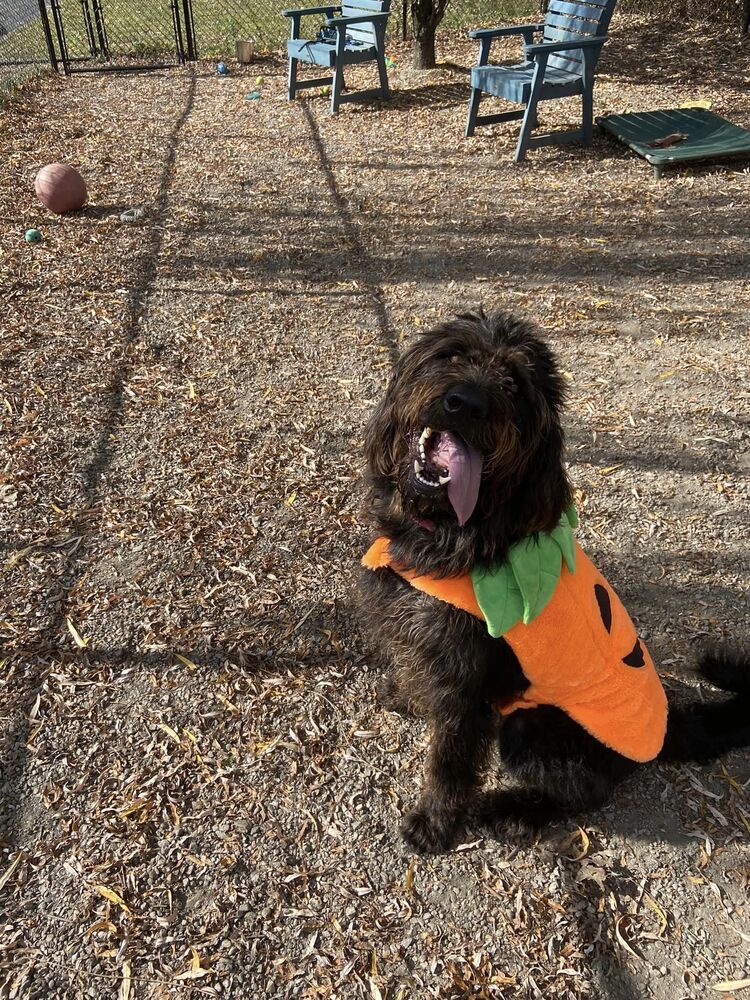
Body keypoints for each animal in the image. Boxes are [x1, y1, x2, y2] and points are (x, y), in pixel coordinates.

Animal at [362, 308, 748, 856]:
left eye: (515, 385)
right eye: (453, 354)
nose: (467, 403)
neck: (453, 529)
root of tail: (669, 724)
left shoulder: (466, 686)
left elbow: (450, 760)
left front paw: (435, 822)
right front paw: (405, 692)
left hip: (532, 726)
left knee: (588, 790)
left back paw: (512, 811)